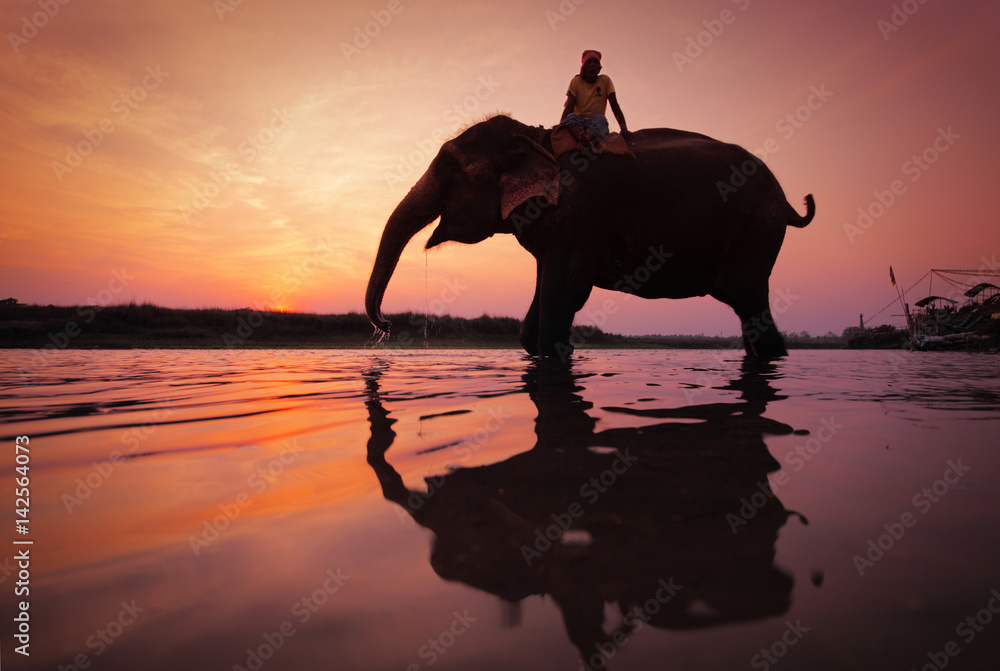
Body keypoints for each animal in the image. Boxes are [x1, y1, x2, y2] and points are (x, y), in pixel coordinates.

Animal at [365, 114, 815, 357]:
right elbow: (541, 306)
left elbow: (564, 295)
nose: (386, 325)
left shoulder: (578, 218)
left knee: (749, 301)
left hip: (756, 231)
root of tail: (789, 201)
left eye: (450, 170)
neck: (538, 139)